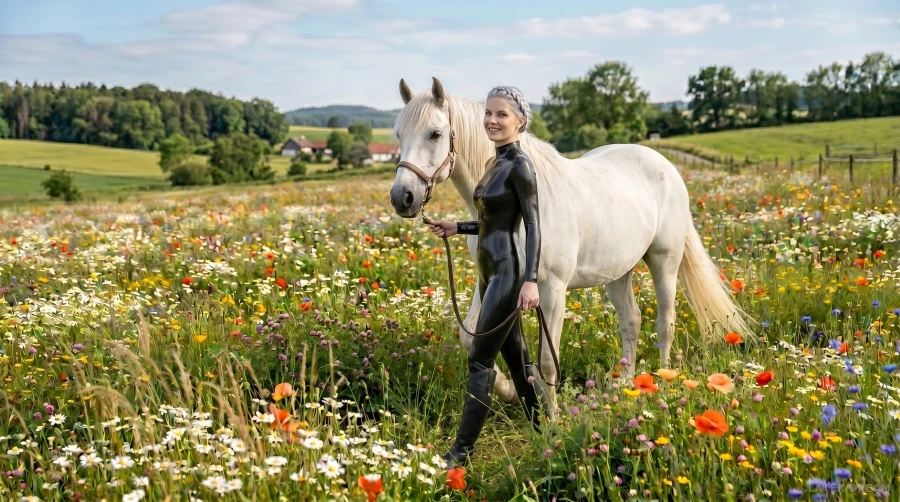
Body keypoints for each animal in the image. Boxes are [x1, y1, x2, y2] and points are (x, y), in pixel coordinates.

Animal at [388, 77, 753, 413]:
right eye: (398, 135)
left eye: (435, 134)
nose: (402, 197)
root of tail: (665, 165)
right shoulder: (490, 282)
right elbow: (471, 337)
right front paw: (508, 390)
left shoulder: (551, 290)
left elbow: (548, 359)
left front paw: (551, 418)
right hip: (617, 273)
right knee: (631, 321)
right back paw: (625, 385)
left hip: (665, 262)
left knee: (666, 322)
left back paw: (663, 380)